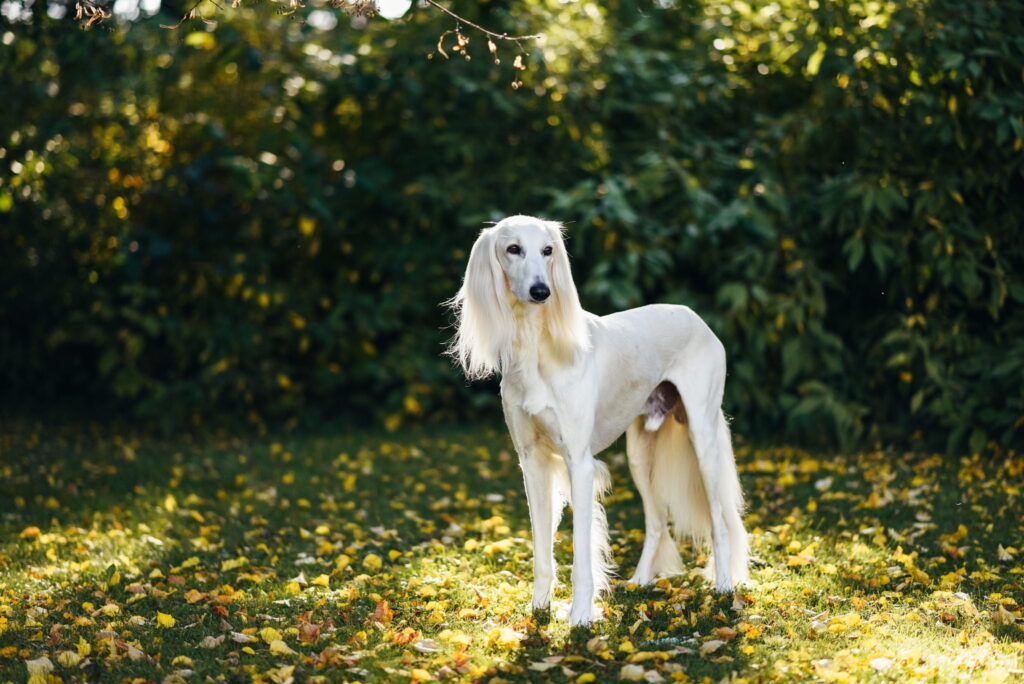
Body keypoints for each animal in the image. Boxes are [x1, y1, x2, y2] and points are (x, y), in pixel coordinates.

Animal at [444, 215, 749, 626]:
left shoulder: (579, 462)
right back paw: (640, 581)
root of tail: (695, 316)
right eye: (513, 248)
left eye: (548, 250)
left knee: (718, 519)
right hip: (640, 452)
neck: (536, 349)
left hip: (702, 437)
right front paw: (539, 609)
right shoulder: (532, 462)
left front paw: (580, 617)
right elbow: (542, 549)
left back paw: (723, 587)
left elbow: (581, 551)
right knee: (656, 521)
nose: (541, 291)